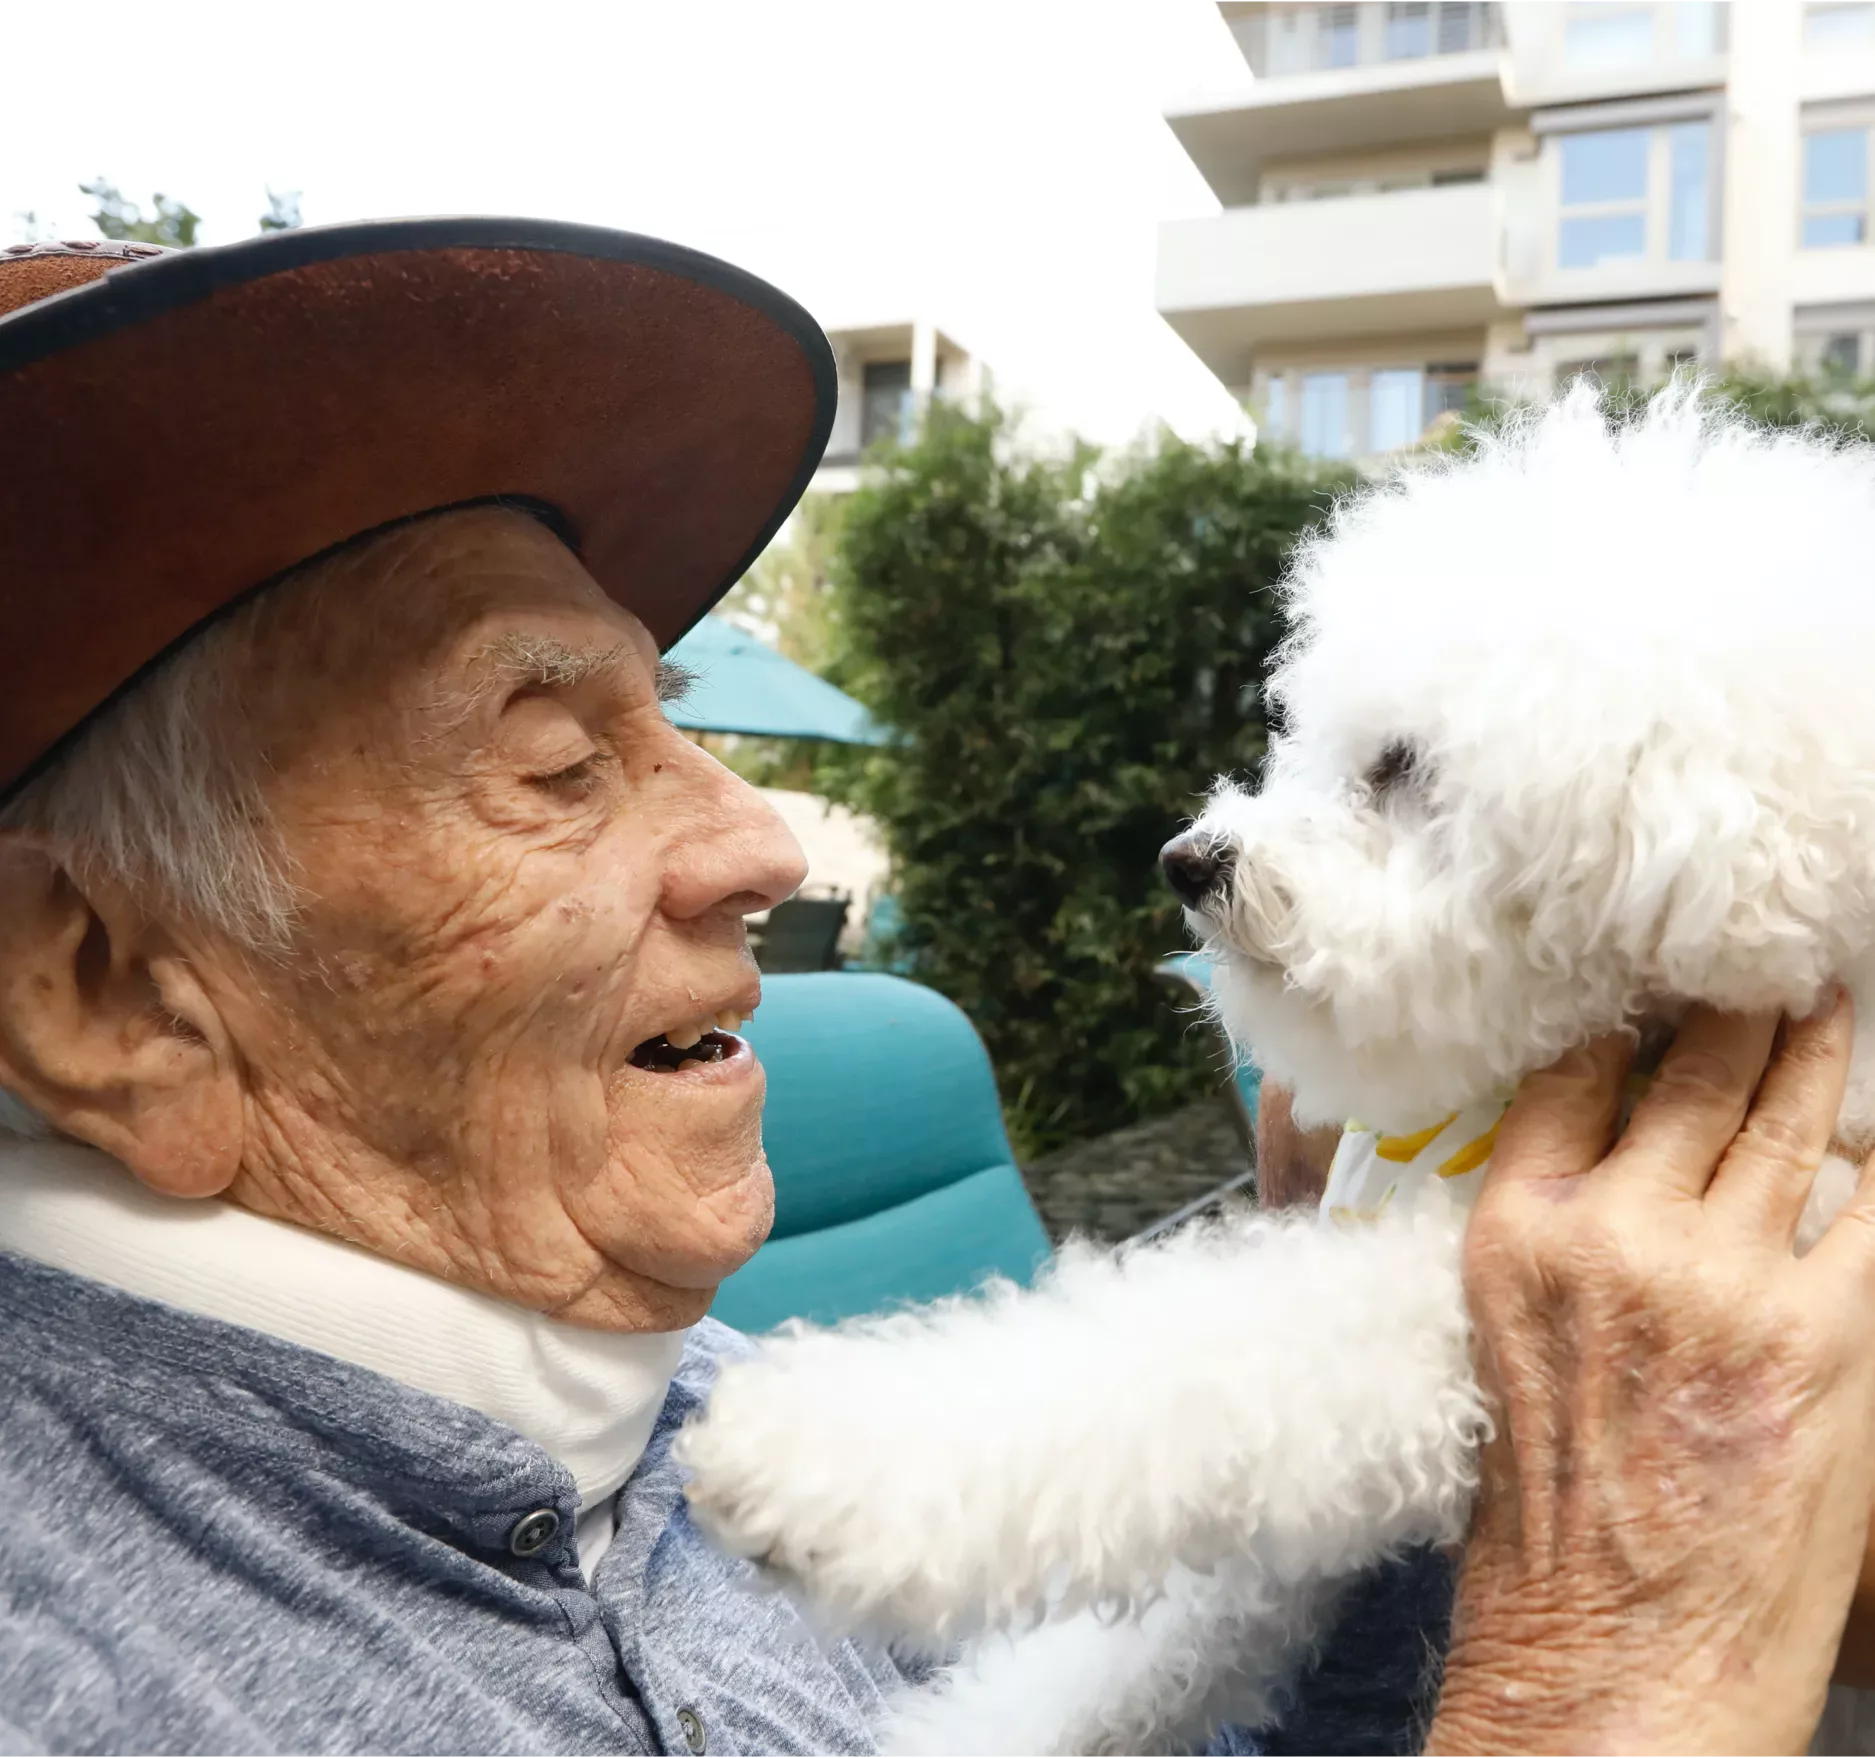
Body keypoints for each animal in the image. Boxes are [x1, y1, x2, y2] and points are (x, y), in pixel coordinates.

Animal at [678, 387, 1875, 1754]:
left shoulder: (1462, 1327)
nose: (1188, 858)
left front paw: (820, 1455)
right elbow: (1161, 1632)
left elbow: (1199, 1370)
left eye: (1402, 766)